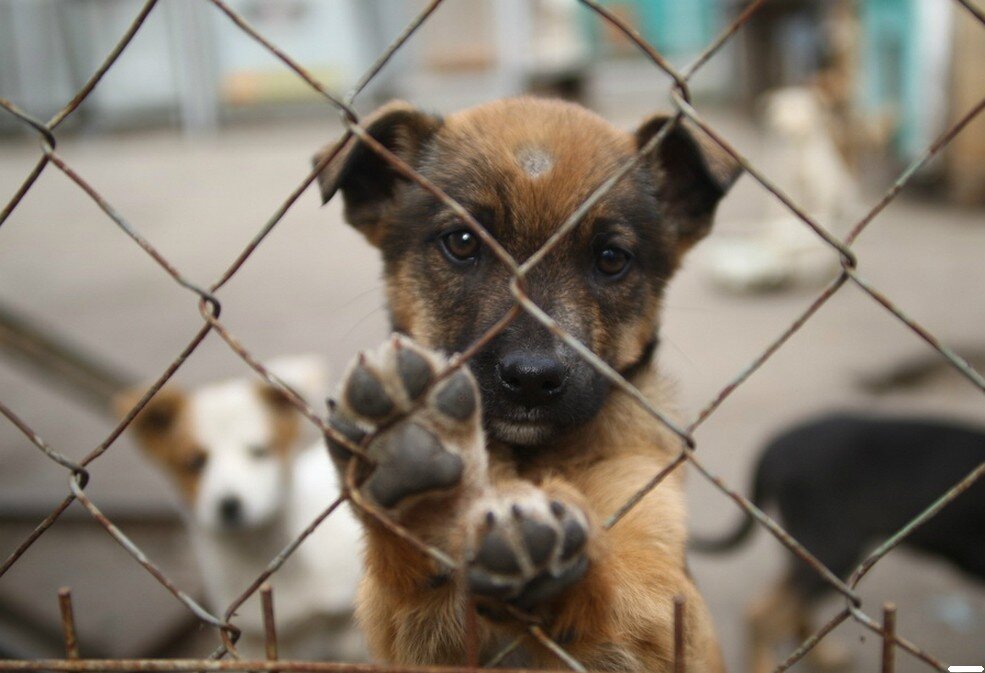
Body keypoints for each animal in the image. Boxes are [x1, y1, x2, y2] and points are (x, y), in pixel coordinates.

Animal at [118, 360, 366, 660]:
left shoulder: (348, 632)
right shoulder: (258, 642)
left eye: (259, 451)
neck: (258, 549)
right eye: (195, 462)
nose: (229, 505)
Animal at [316, 97, 736, 668]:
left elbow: (623, 584)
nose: (533, 379)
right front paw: (427, 502)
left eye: (611, 259)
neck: (531, 460)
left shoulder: (673, 609)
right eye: (462, 242)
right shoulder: (419, 644)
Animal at [692, 412, 984, 668]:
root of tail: (775, 446)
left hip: (812, 550)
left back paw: (823, 657)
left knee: (790, 607)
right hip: (834, 548)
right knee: (761, 613)